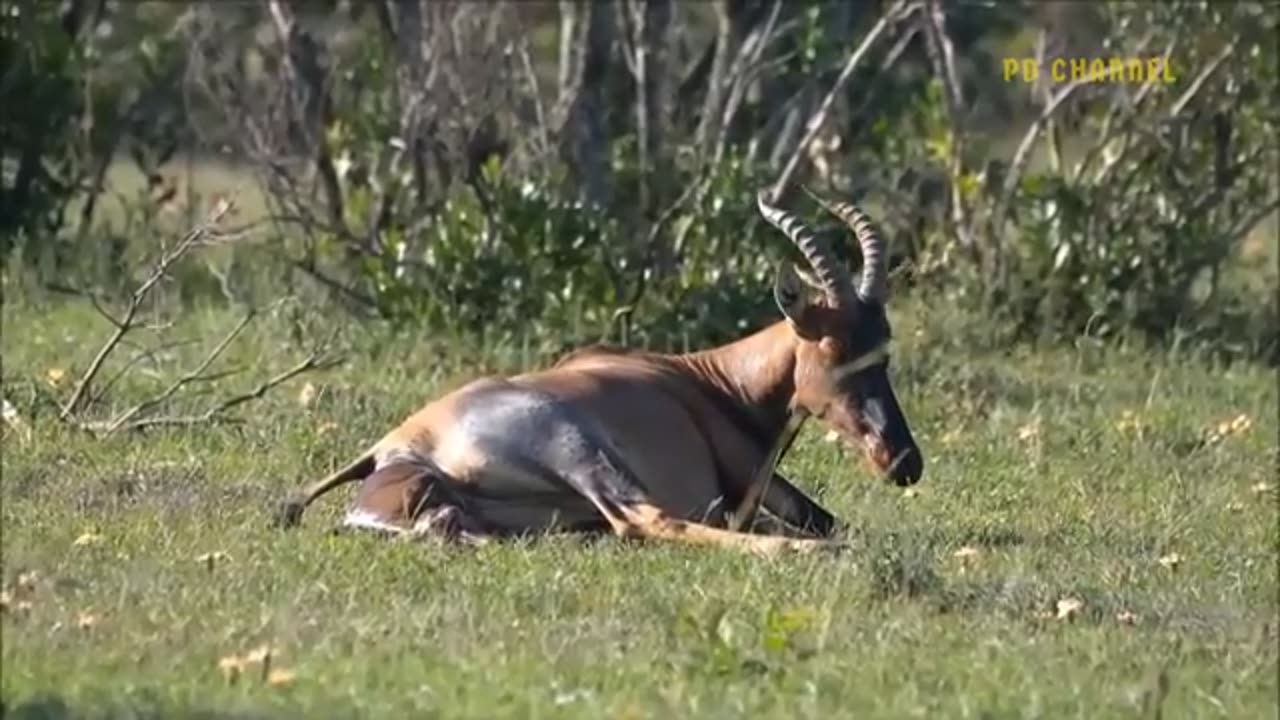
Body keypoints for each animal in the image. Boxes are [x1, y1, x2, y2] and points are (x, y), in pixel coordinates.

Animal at [277, 188, 921, 550]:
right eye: (832, 348)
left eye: (884, 347)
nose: (903, 462)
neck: (701, 380)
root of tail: (393, 449)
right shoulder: (743, 481)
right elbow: (818, 519)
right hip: (581, 452)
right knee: (646, 521)